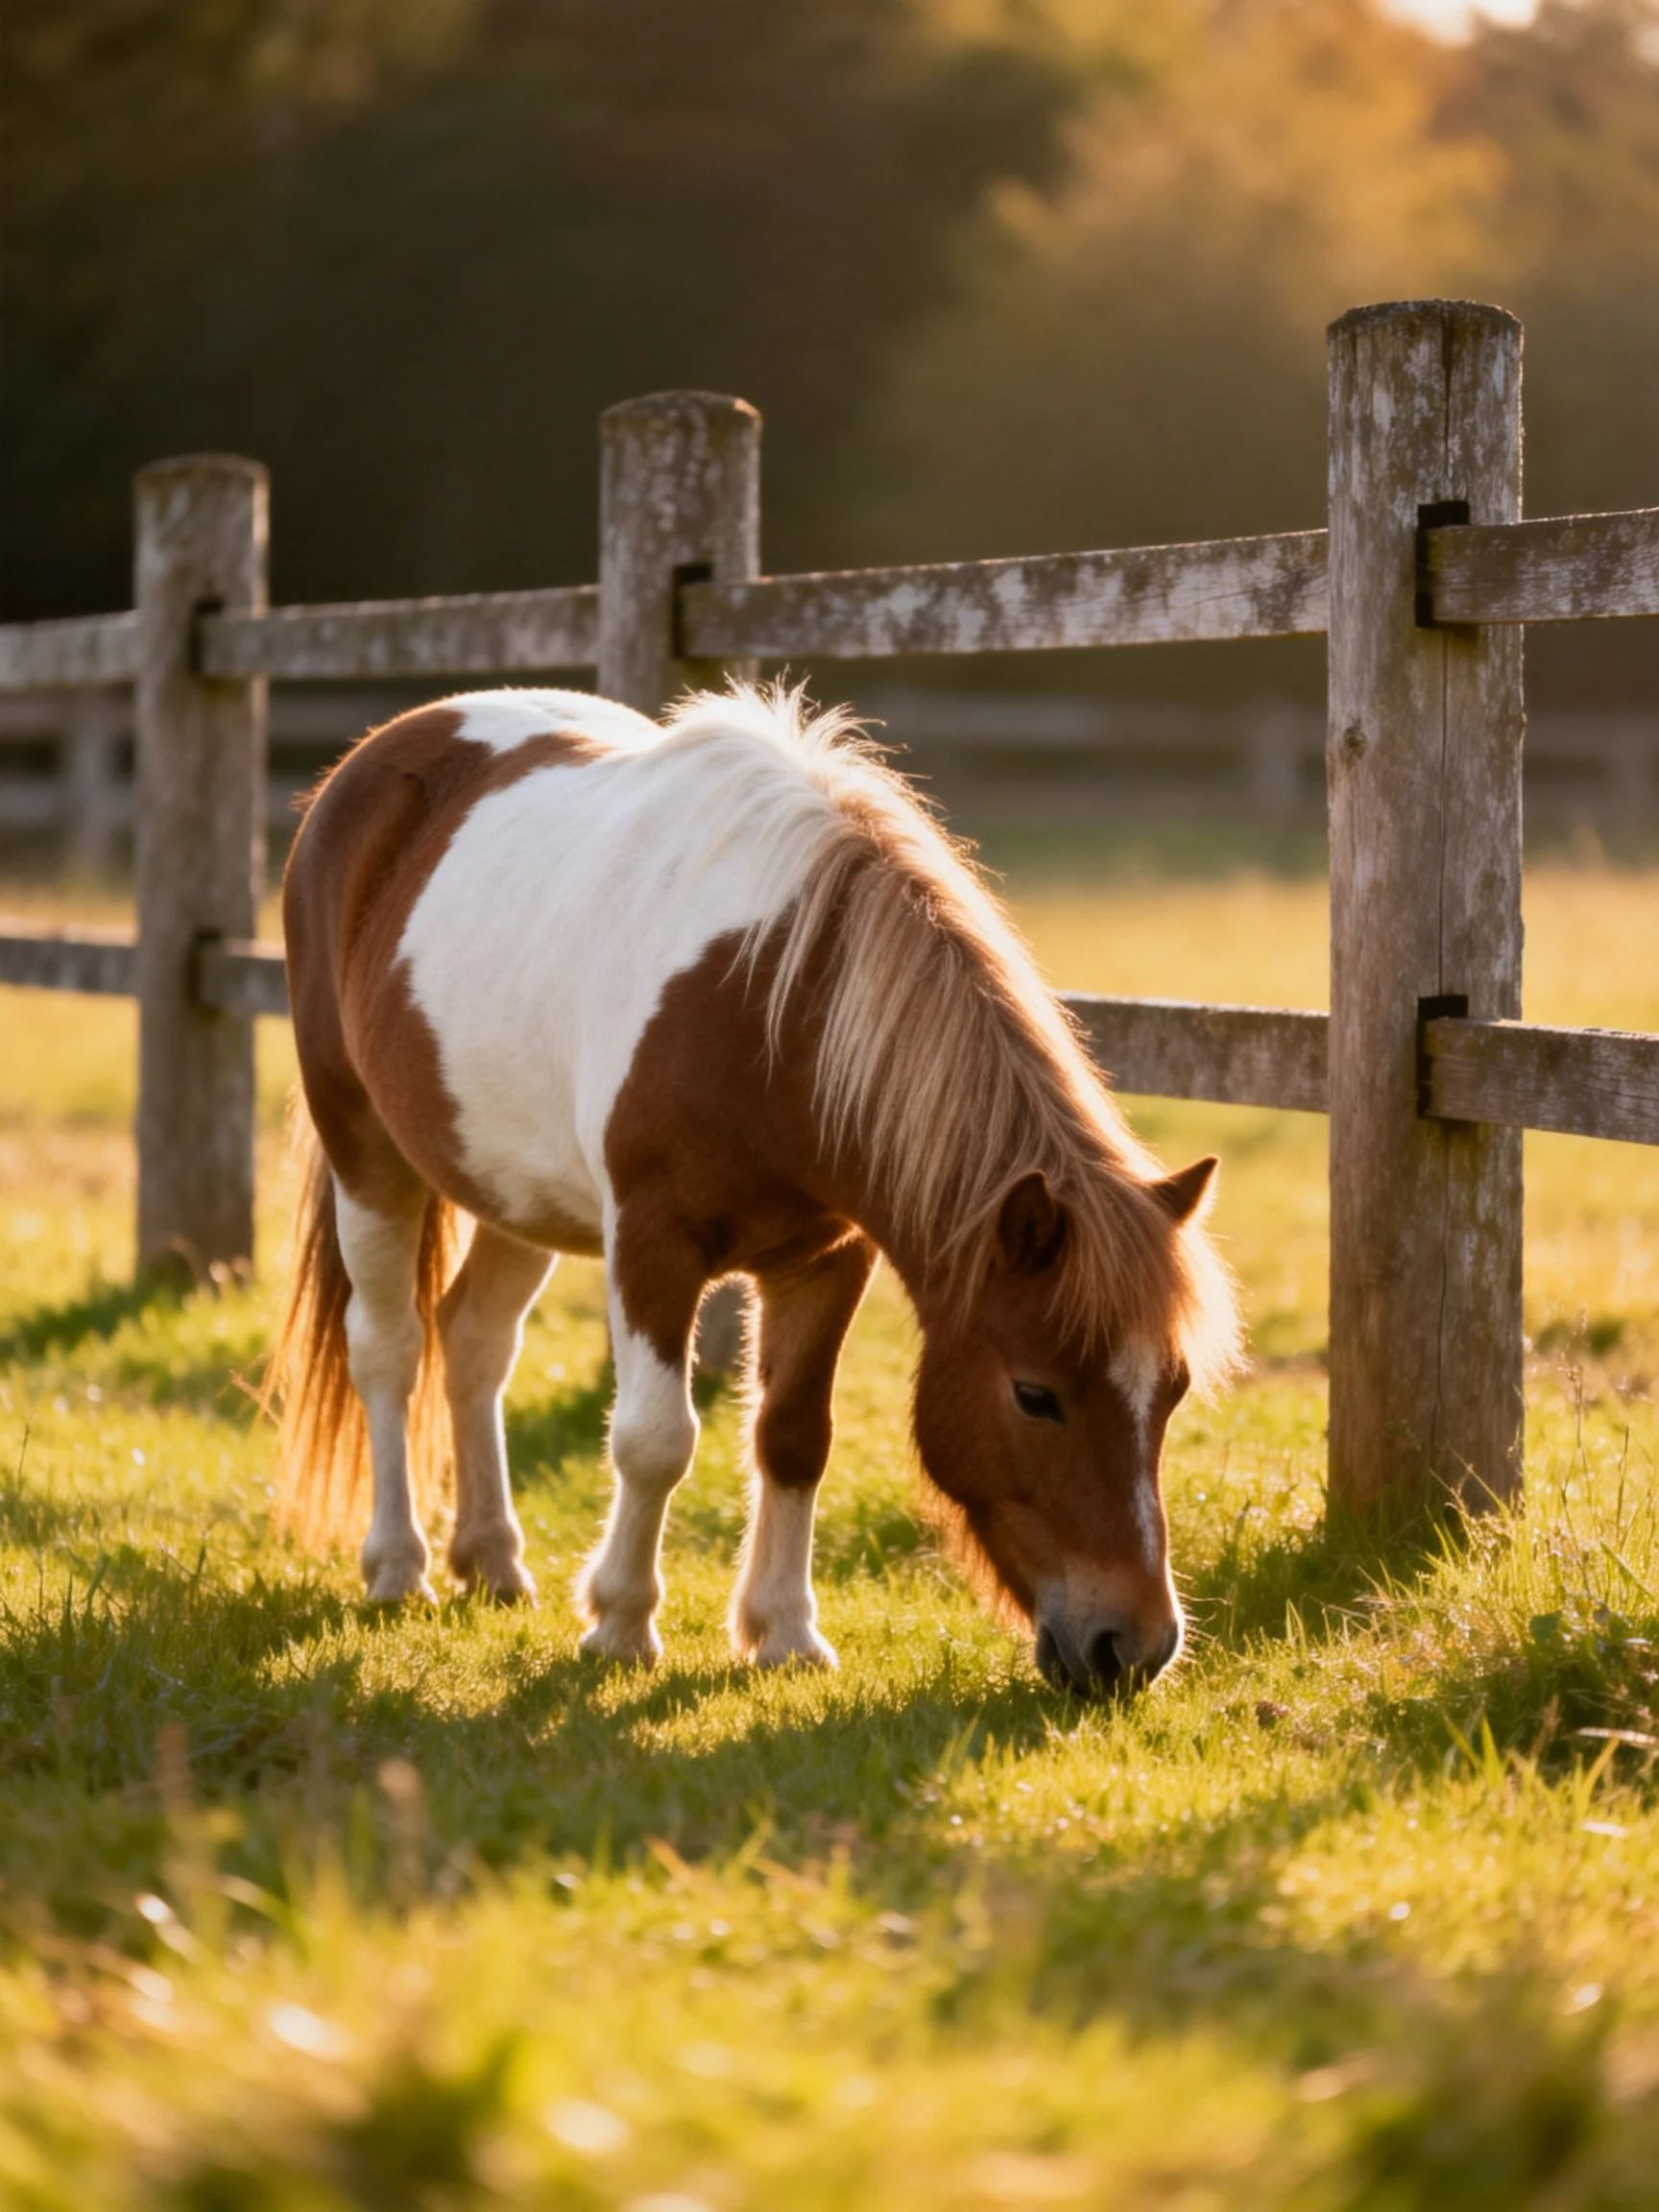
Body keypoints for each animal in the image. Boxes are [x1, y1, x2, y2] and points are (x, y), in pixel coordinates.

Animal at [267, 684, 1239, 1697]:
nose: (1134, 1647)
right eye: (1035, 1394)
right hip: (365, 1149)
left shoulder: (827, 1258)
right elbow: (654, 1439)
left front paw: (784, 1633)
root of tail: (376, 754)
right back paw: (398, 1566)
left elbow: (794, 1436)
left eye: (1172, 1391)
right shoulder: (650, 1245)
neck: (778, 1006)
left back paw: (492, 1560)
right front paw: (620, 1625)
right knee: (388, 1347)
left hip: (512, 1185)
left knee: (474, 1340)